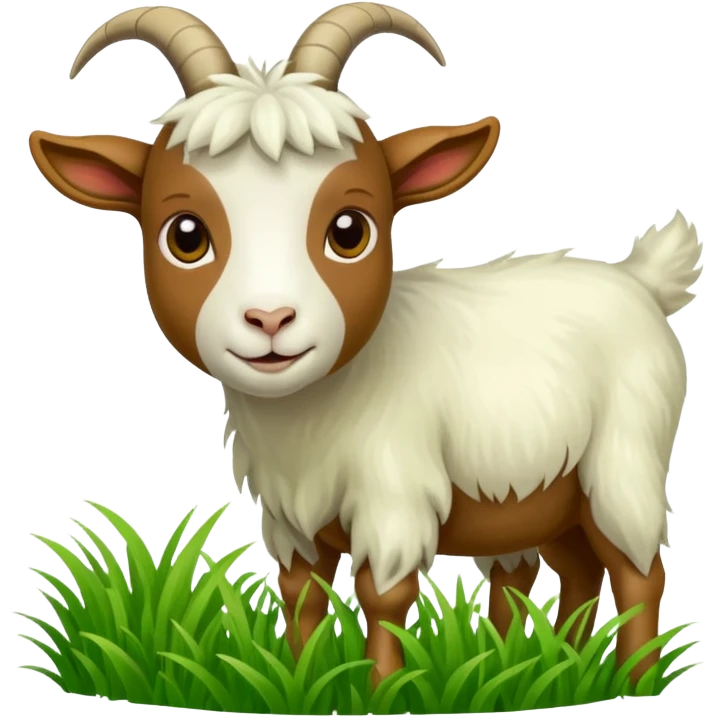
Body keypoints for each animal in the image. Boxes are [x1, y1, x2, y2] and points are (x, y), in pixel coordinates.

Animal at [28, 2, 702, 688]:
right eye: (185, 235)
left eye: (349, 230)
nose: (270, 318)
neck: (312, 415)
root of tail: (640, 279)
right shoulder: (289, 514)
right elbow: (300, 594)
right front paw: (302, 679)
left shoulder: (393, 494)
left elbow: (383, 597)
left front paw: (385, 688)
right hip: (550, 493)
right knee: (573, 570)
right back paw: (553, 662)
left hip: (623, 461)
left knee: (637, 569)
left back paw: (630, 679)